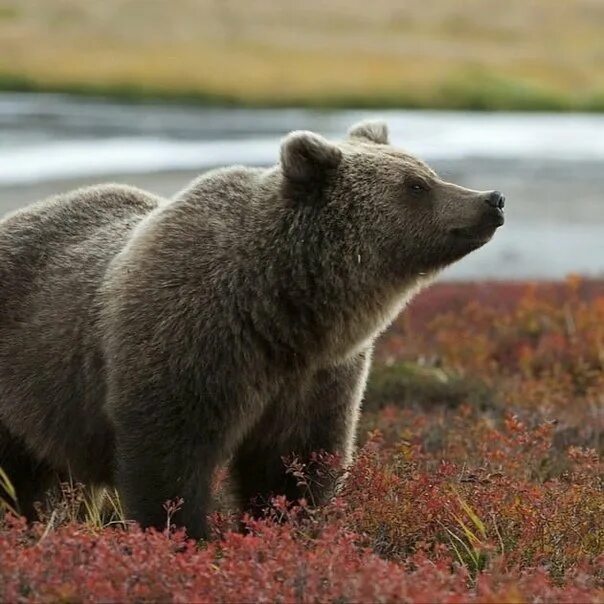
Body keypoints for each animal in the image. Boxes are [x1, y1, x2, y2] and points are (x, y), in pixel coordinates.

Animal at [0, 120, 502, 536]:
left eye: (427, 170)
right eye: (415, 185)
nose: (491, 200)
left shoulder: (317, 377)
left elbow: (293, 464)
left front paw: (282, 528)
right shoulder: (189, 342)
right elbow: (168, 462)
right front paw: (185, 536)